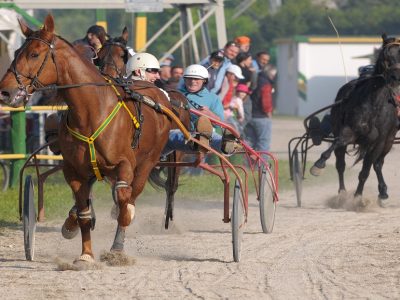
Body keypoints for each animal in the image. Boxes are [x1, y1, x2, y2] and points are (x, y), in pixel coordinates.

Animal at [0, 14, 175, 262]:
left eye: (34, 54)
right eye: (15, 52)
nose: (5, 91)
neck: (91, 111)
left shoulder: (125, 164)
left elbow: (123, 200)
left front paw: (117, 246)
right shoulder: (74, 171)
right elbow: (82, 211)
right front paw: (85, 253)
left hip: (147, 162)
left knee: (131, 195)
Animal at [310, 34, 400, 203]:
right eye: (386, 54)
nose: (395, 76)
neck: (374, 105)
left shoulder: (379, 141)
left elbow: (366, 170)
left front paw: (358, 197)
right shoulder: (349, 130)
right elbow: (336, 145)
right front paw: (318, 165)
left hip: (390, 140)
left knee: (377, 164)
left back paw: (382, 192)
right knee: (340, 164)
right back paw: (342, 192)